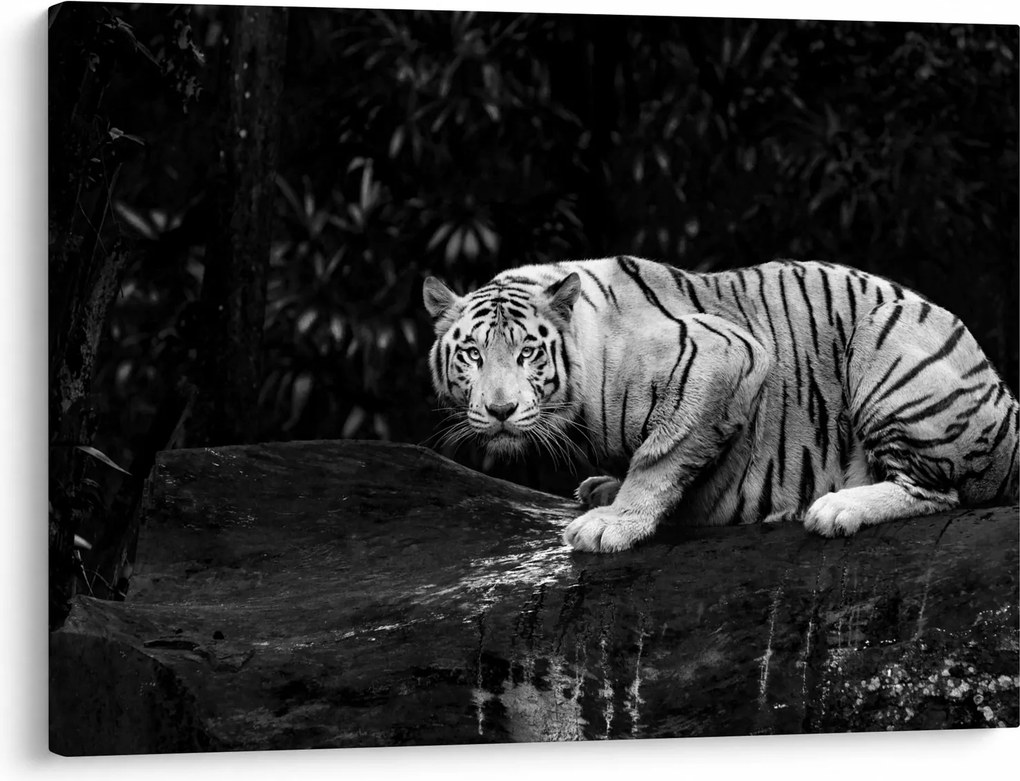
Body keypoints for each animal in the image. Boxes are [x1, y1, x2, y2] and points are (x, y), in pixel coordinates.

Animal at [422, 256, 1019, 553]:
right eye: (473, 353)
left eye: (527, 352)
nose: (500, 411)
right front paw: (605, 490)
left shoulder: (725, 355)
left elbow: (660, 454)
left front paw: (613, 523)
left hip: (886, 341)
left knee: (938, 491)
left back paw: (836, 508)